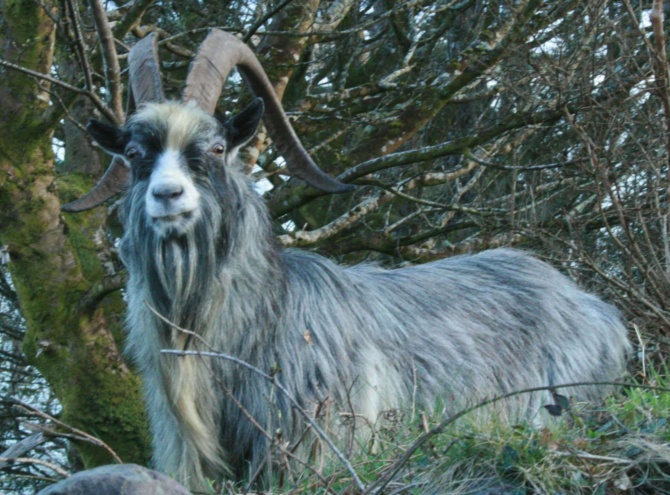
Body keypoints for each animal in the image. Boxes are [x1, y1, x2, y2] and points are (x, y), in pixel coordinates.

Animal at [62, 30, 631, 490]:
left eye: (218, 148)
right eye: (134, 154)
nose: (168, 195)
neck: (265, 314)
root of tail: (592, 305)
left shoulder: (316, 445)